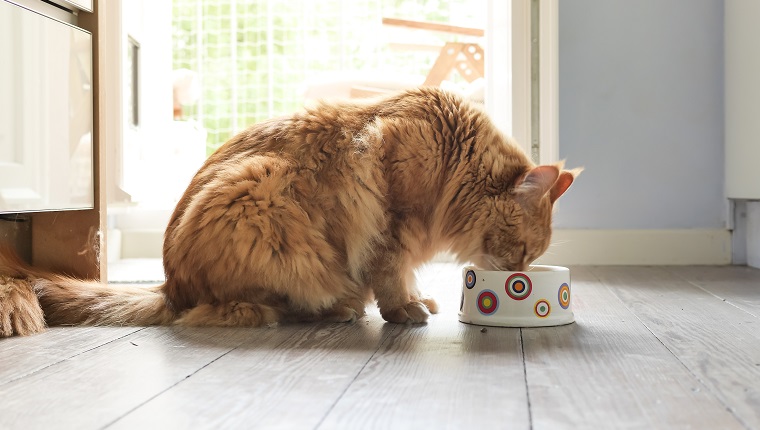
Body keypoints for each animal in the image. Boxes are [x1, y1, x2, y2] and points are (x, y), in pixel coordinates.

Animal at [0, 87, 580, 336]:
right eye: (523, 251)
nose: (521, 274)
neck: (451, 158)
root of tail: (169, 284)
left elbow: (406, 276)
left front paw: (419, 299)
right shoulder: (391, 225)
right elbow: (392, 278)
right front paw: (405, 310)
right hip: (262, 204)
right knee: (246, 309)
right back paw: (333, 311)